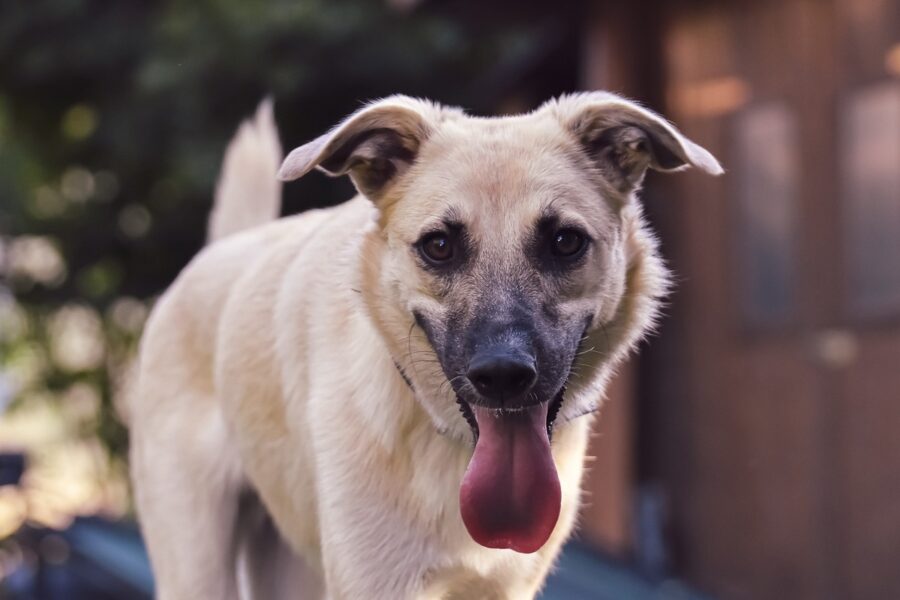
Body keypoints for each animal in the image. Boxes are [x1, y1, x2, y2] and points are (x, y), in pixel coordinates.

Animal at [126, 90, 720, 600]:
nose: (502, 375)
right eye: (438, 246)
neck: (453, 450)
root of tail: (224, 250)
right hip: (196, 565)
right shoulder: (373, 582)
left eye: (565, 241)